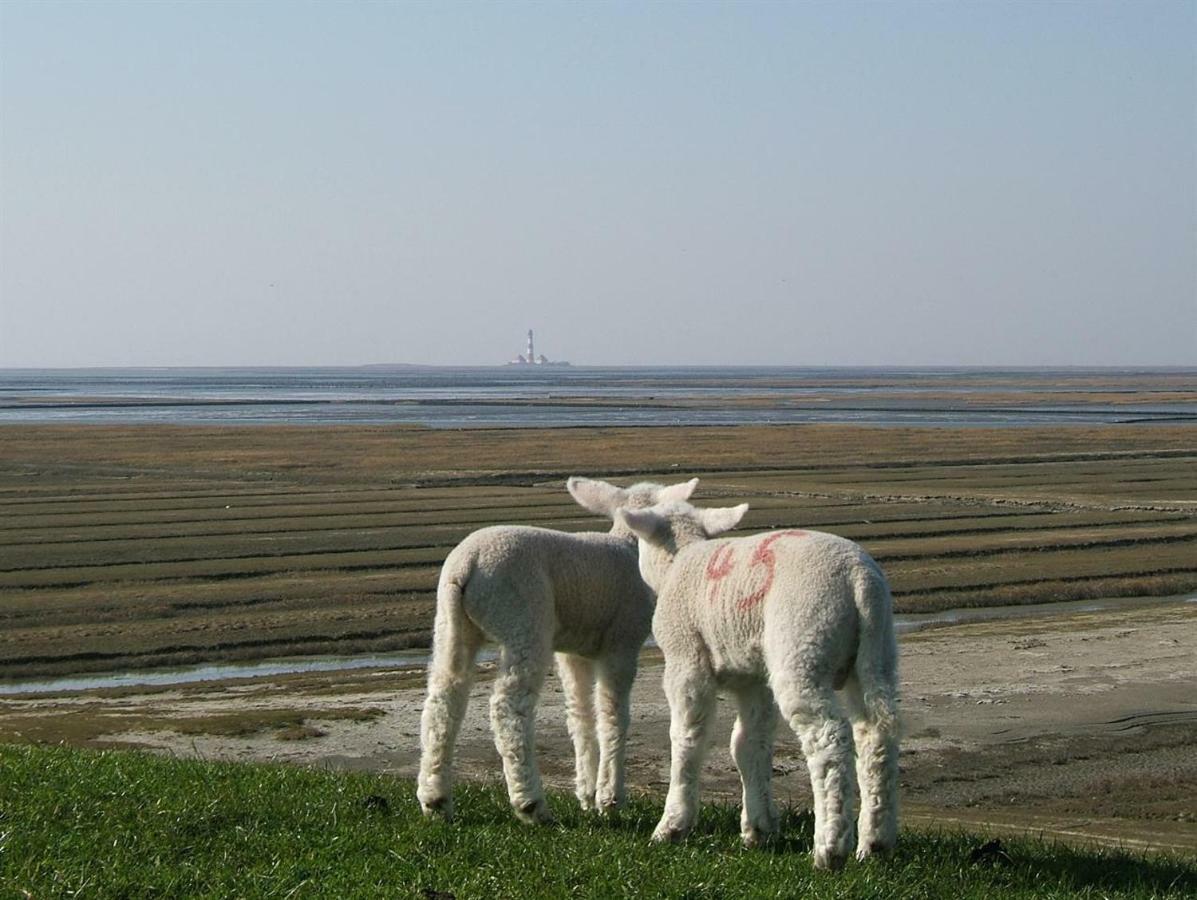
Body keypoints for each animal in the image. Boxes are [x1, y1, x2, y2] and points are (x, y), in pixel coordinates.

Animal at [418, 473, 699, 828]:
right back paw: (531, 804)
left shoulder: (572, 651)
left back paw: (435, 800)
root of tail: (467, 565)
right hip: (523, 620)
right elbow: (613, 714)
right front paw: (610, 797)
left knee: (443, 700)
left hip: (450, 625)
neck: (628, 547)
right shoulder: (621, 643)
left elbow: (580, 714)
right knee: (508, 708)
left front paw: (588, 794)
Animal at [617, 500, 900, 871]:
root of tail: (859, 579)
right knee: (878, 733)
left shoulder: (686, 659)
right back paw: (875, 844)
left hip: (803, 641)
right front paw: (758, 828)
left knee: (829, 737)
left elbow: (688, 737)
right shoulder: (752, 678)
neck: (679, 561)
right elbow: (750, 743)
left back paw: (829, 848)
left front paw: (672, 826)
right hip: (876, 653)